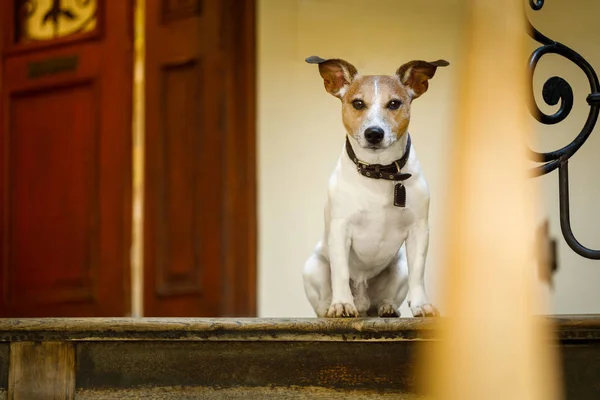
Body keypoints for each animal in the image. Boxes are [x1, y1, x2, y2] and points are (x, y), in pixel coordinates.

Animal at [302, 55, 448, 318]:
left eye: (394, 103)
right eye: (358, 103)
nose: (374, 133)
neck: (379, 172)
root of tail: (363, 299)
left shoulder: (419, 231)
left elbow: (418, 273)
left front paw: (421, 305)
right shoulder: (340, 230)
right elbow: (340, 273)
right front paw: (342, 304)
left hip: (399, 268)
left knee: (389, 296)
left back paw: (387, 308)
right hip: (313, 268)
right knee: (323, 299)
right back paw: (331, 307)